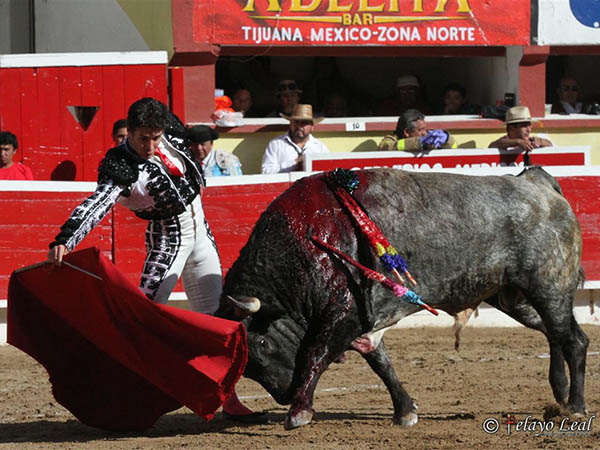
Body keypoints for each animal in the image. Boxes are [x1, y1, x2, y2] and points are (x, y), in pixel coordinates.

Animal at [216, 167, 588, 430]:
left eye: (261, 343)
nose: (284, 395)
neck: (304, 245)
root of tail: (537, 184)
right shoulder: (363, 321)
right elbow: (381, 364)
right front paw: (405, 411)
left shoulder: (343, 314)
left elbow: (315, 354)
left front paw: (299, 412)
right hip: (514, 297)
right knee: (553, 332)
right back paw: (559, 394)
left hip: (549, 286)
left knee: (574, 340)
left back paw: (576, 407)